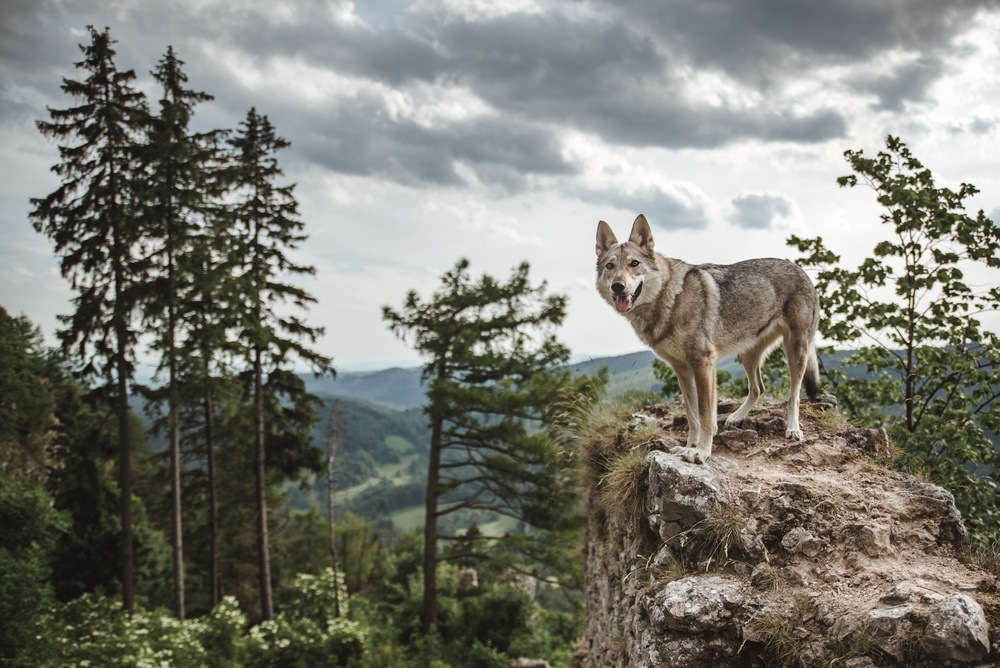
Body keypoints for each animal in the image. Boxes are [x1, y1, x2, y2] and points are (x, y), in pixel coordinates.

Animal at [592, 215, 820, 464]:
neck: (670, 298)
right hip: (747, 355)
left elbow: (705, 415)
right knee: (758, 388)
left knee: (794, 395)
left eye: (634, 264)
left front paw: (701, 452)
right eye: (610, 266)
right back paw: (737, 417)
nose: (618, 286)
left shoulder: (703, 363)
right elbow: (692, 416)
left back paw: (793, 429)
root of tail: (800, 269)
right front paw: (688, 447)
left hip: (795, 351)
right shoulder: (683, 370)